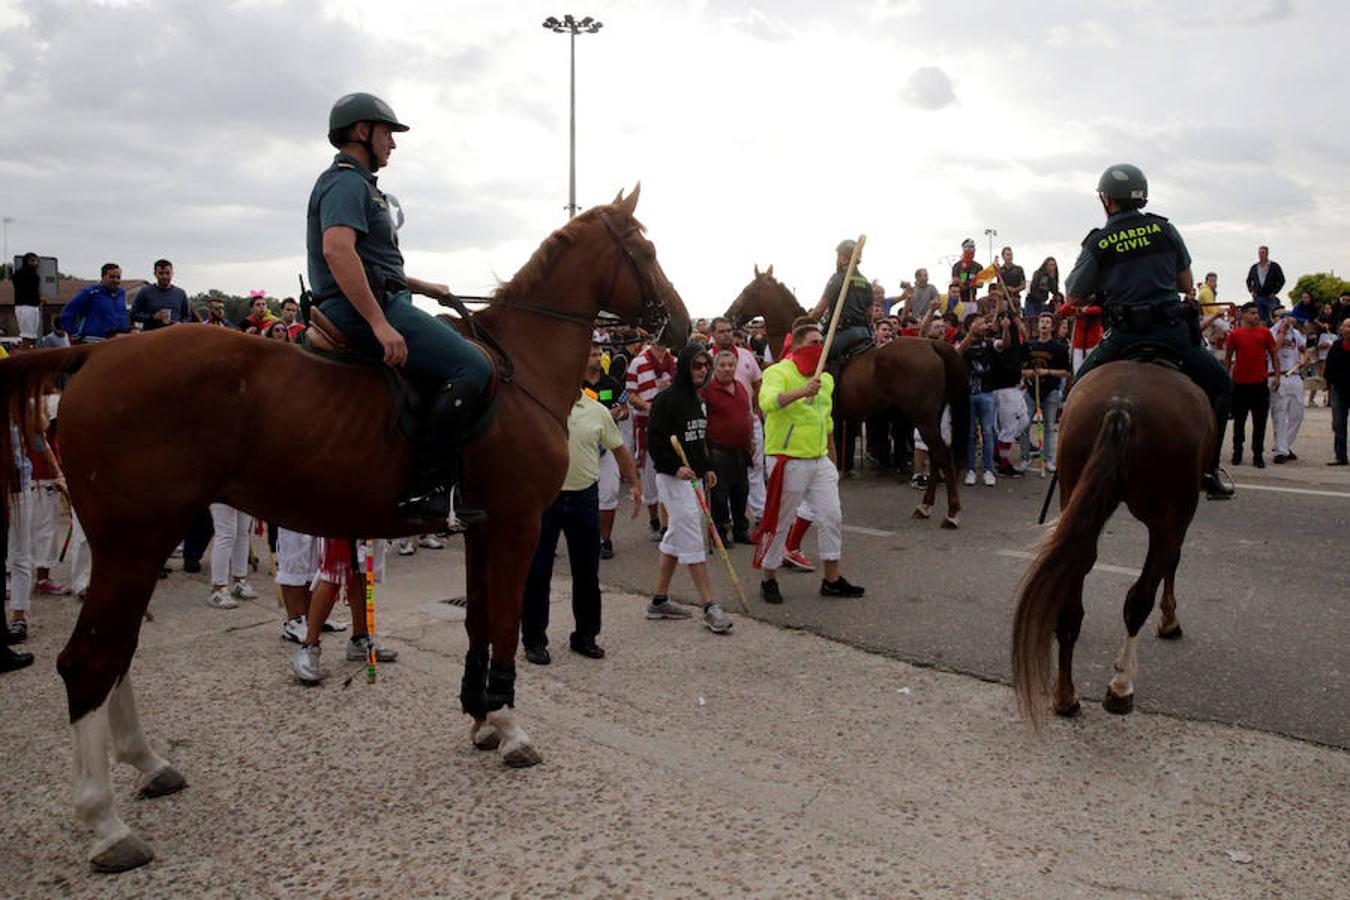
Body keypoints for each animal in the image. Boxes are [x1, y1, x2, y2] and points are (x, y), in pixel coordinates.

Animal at [0, 184, 691, 874]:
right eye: (647, 249)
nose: (683, 329)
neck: (518, 367)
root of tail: (100, 351)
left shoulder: (482, 527)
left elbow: (477, 621)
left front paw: (479, 717)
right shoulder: (518, 524)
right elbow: (501, 624)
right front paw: (510, 725)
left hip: (132, 546)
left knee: (117, 652)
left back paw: (147, 763)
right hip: (134, 541)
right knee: (91, 659)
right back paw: (106, 822)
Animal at [729, 265, 972, 528]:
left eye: (748, 291)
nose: (729, 316)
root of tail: (932, 345)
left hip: (923, 417)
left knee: (941, 454)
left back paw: (951, 512)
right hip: (932, 417)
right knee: (937, 455)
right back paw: (926, 506)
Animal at [1009, 358, 1209, 723]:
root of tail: (1122, 405)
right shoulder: (1177, 519)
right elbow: (1172, 563)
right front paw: (1169, 621)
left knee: (1071, 607)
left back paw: (1066, 696)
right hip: (1170, 516)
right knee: (1138, 599)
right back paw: (1120, 687)